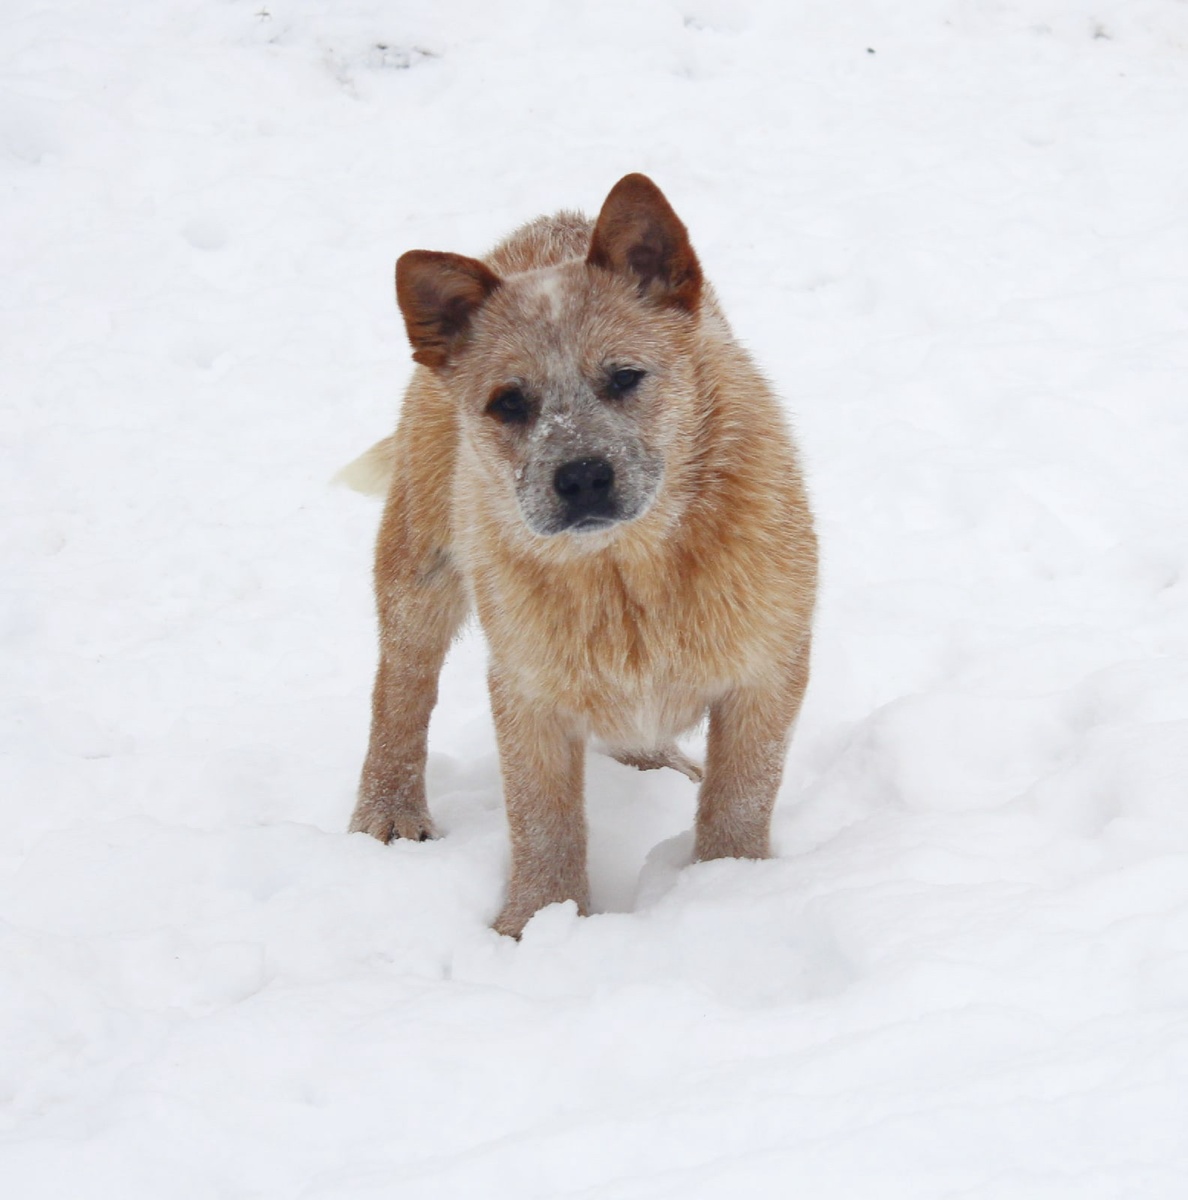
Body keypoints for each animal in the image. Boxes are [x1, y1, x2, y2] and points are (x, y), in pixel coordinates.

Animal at [345, 174, 816, 936]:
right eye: (509, 402)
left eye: (624, 376)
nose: (583, 476)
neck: (627, 573)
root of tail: (543, 225)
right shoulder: (527, 693)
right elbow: (544, 822)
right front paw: (535, 926)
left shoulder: (767, 673)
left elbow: (739, 799)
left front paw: (727, 891)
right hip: (420, 568)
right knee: (401, 692)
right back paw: (387, 812)